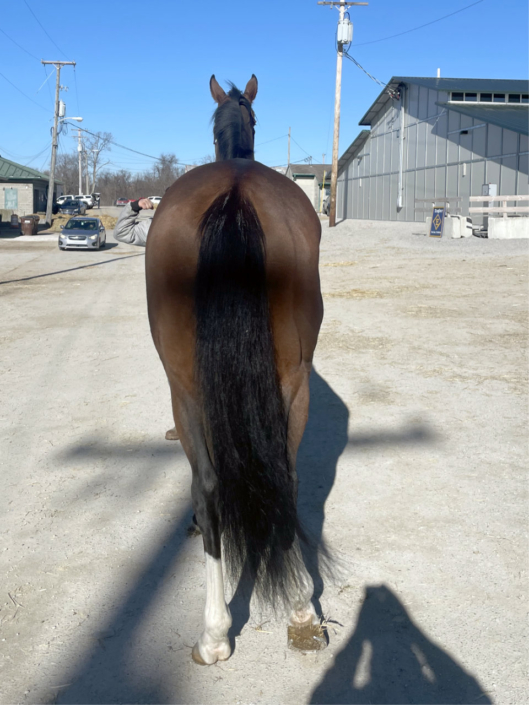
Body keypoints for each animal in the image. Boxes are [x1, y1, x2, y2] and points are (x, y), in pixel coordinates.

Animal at [145, 74, 324, 665]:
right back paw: (301, 608)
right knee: (287, 478)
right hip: (294, 385)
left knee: (208, 487)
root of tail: (235, 194)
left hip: (185, 391)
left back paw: (215, 632)